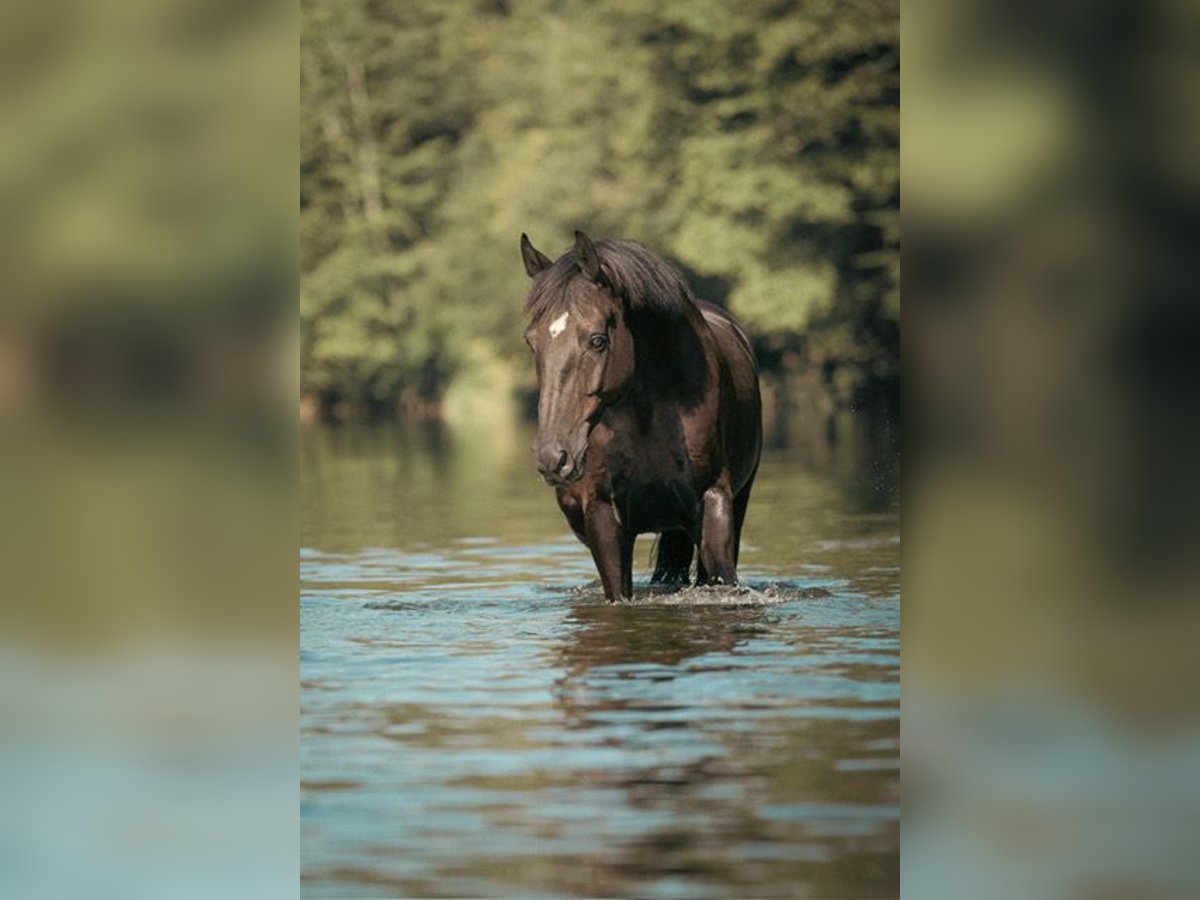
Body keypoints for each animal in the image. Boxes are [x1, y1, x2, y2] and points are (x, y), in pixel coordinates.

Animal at [516, 229, 758, 602]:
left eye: (597, 340)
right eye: (532, 341)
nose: (553, 458)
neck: (648, 415)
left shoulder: (714, 501)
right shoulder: (603, 516)